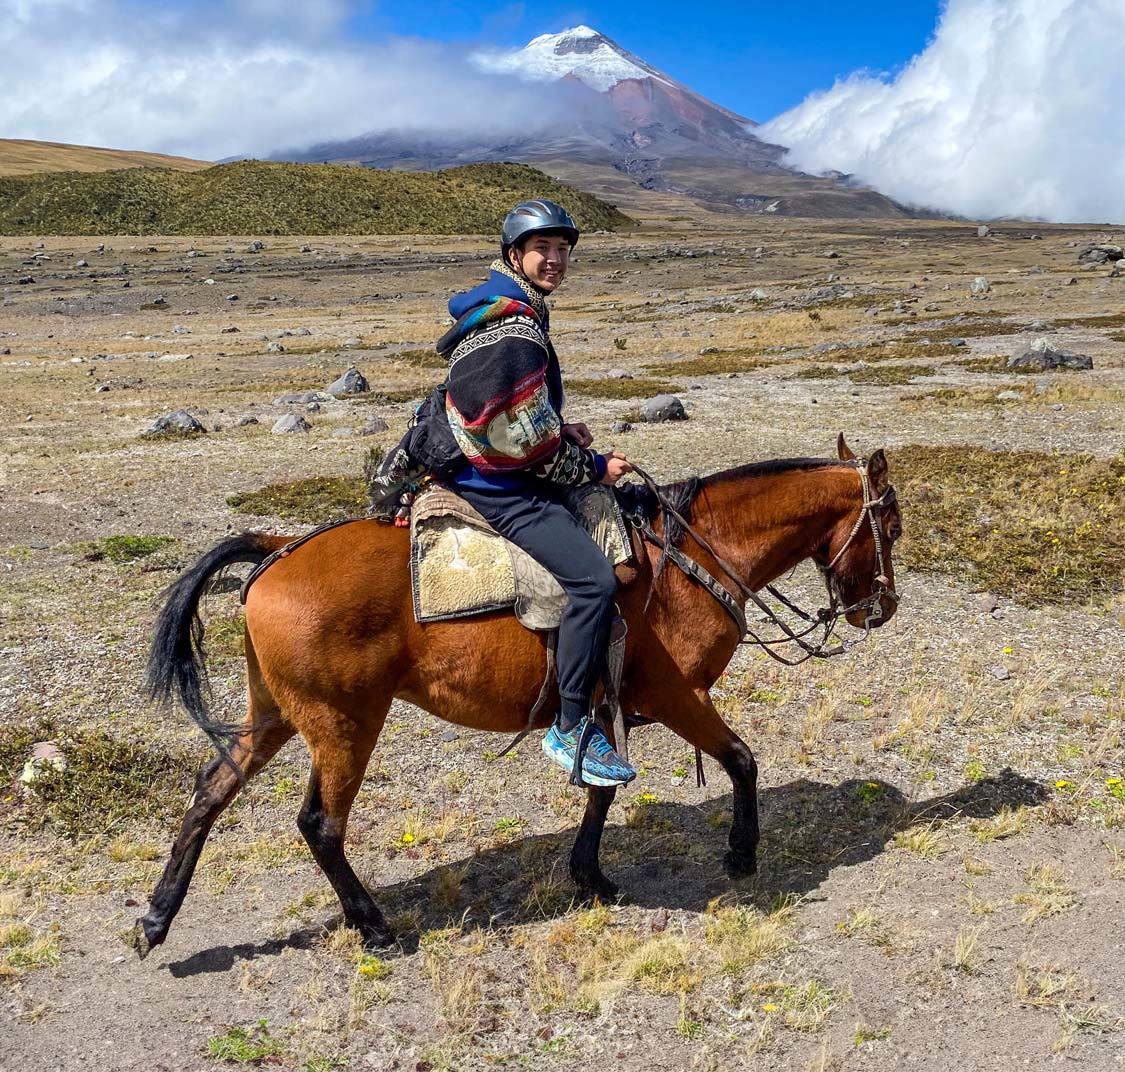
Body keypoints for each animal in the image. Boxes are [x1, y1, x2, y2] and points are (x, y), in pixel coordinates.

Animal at [136, 434, 900, 953]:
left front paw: (590, 875)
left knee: (209, 792)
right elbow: (740, 759)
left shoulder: (605, 706)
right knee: (320, 824)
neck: (689, 556)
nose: (881, 609)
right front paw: (740, 855)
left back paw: (156, 918)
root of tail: (278, 547)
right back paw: (373, 926)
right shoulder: (677, 695)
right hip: (344, 723)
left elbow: (600, 789)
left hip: (273, 716)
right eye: (889, 527)